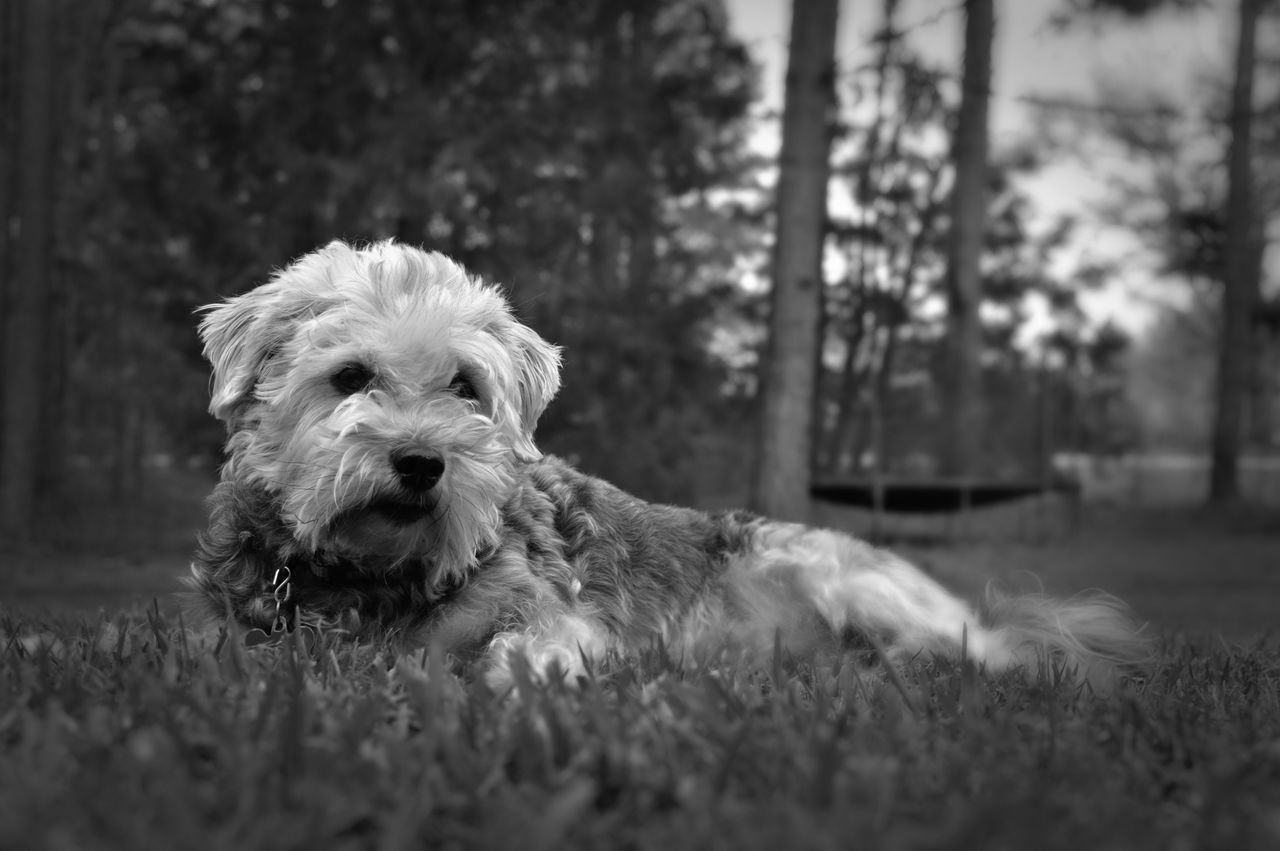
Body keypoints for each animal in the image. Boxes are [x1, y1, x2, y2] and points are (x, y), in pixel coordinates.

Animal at [186, 236, 1152, 685]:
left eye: (466, 386)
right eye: (350, 376)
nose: (423, 462)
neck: (372, 574)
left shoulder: (555, 616)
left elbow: (525, 650)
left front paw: (514, 682)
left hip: (838, 574)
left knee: (998, 657)